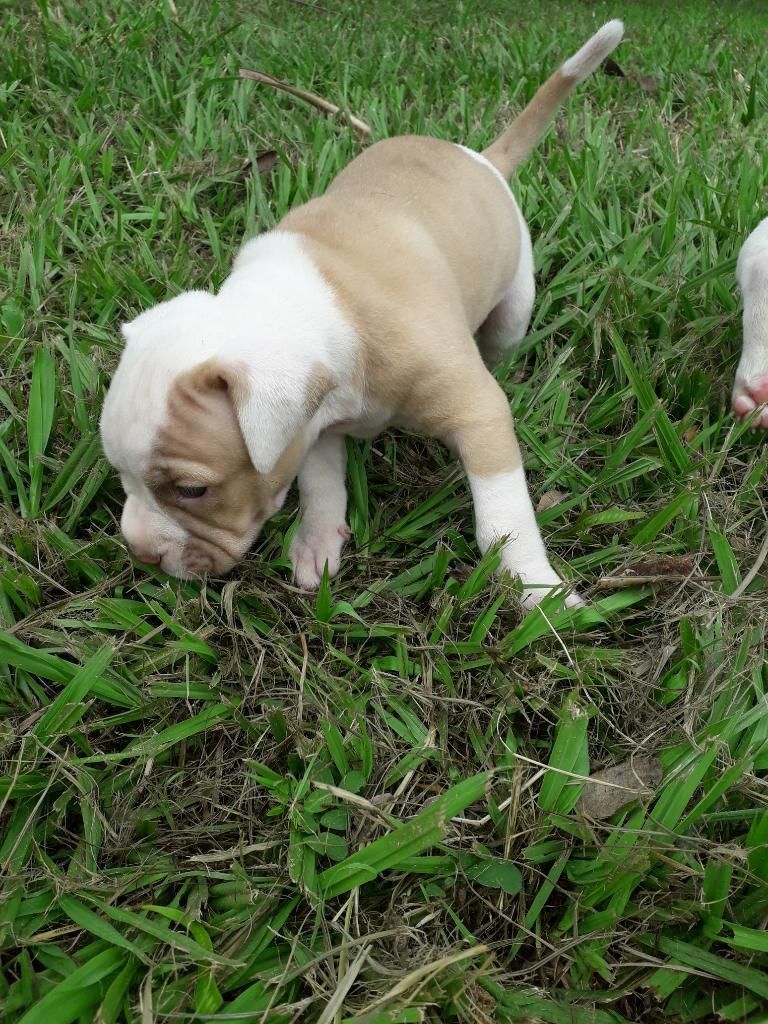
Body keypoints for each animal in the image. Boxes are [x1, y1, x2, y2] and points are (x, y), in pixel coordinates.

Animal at [99, 22, 626, 606]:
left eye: (193, 490)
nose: (140, 554)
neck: (302, 299)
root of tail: (482, 158)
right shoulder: (311, 425)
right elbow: (320, 480)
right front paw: (317, 541)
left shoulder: (478, 411)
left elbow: (501, 518)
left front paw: (536, 588)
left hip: (514, 304)